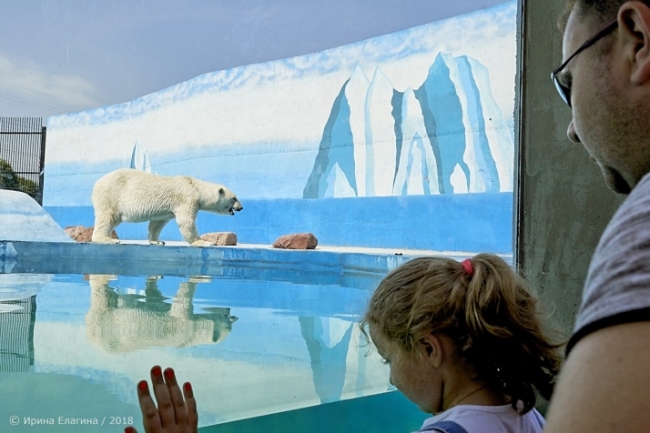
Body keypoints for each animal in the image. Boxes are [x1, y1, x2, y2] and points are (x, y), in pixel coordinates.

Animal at [90, 167, 240, 245]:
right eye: (234, 198)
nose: (240, 207)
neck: (194, 187)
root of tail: (97, 183)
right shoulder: (186, 199)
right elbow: (186, 222)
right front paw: (202, 242)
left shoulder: (165, 211)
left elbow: (157, 224)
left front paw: (157, 241)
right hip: (112, 195)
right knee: (108, 217)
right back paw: (107, 239)